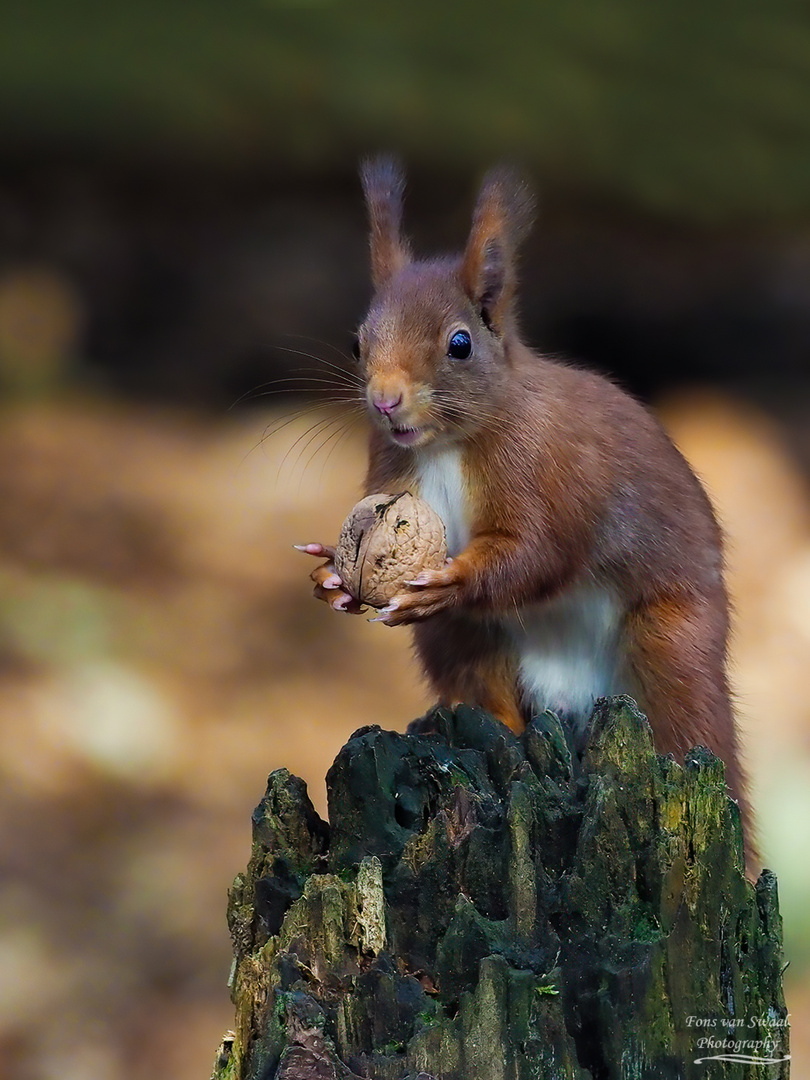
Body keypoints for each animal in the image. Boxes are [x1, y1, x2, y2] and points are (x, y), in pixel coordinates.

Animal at [302, 156, 760, 872]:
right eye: (357, 342)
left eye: (460, 344)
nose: (384, 399)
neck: (447, 445)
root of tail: (570, 696)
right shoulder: (388, 472)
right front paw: (330, 575)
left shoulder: (547, 476)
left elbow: (538, 552)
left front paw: (452, 579)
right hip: (463, 647)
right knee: (484, 693)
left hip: (671, 648)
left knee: (686, 719)